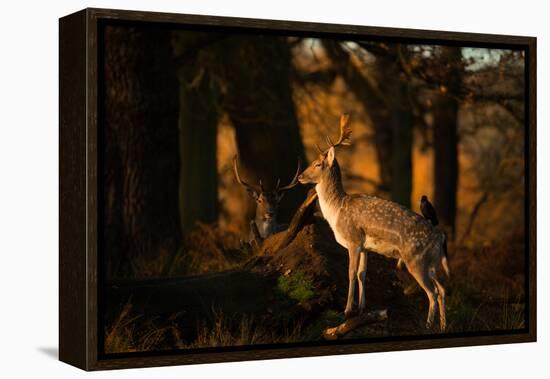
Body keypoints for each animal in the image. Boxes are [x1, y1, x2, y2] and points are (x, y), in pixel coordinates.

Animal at [300, 114, 450, 332]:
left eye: (318, 164)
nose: (300, 176)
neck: (336, 211)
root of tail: (441, 236)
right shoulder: (365, 247)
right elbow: (362, 273)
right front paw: (362, 308)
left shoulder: (353, 240)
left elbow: (351, 273)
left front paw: (347, 310)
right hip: (431, 262)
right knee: (443, 289)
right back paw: (443, 326)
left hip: (416, 259)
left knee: (433, 292)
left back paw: (428, 325)